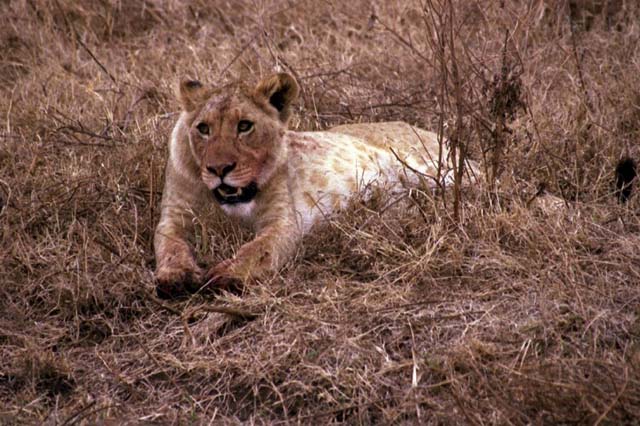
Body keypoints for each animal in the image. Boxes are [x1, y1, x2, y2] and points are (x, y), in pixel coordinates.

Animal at [154, 73, 472, 299]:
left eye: (244, 126)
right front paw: (175, 277)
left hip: (435, 169)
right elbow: (169, 246)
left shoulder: (283, 222)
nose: (219, 169)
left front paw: (226, 275)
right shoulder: (173, 217)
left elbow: (257, 250)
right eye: (203, 129)